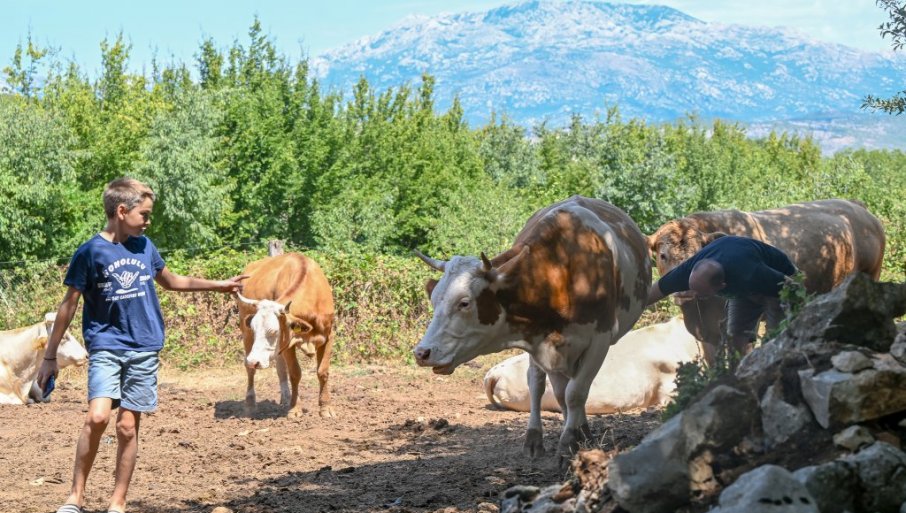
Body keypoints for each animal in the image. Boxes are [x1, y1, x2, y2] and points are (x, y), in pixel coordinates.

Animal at [234, 253, 335, 418]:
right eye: (255, 328)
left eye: (273, 331)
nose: (255, 361)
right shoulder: (288, 343)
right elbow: (295, 373)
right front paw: (295, 409)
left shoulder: (328, 336)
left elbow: (322, 372)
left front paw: (326, 408)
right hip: (246, 336)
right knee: (250, 370)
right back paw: (250, 404)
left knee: (281, 369)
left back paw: (286, 398)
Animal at [414, 195, 651, 458]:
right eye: (434, 299)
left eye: (464, 303)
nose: (422, 353)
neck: (562, 270)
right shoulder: (544, 344)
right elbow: (561, 394)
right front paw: (570, 439)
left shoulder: (599, 340)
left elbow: (576, 393)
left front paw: (571, 441)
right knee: (536, 384)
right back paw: (536, 438)